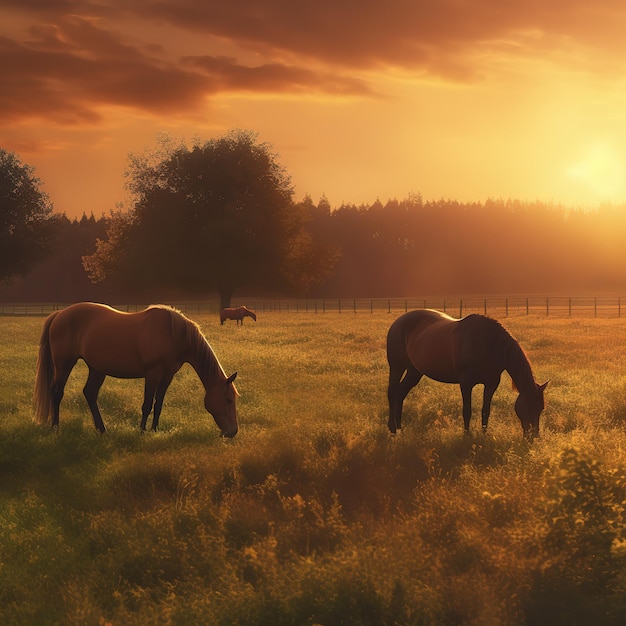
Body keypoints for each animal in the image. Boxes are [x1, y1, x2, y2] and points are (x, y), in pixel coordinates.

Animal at [34, 302, 239, 434]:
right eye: (228, 400)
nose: (232, 432)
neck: (173, 333)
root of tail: (59, 314)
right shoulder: (153, 374)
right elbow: (147, 404)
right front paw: (141, 431)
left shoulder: (168, 375)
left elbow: (158, 404)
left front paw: (154, 430)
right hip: (64, 363)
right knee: (57, 392)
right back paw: (56, 427)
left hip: (96, 368)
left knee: (90, 393)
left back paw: (102, 429)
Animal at [386, 308, 544, 436]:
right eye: (530, 405)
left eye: (542, 408)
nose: (534, 435)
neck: (486, 343)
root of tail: (397, 322)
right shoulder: (466, 383)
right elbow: (467, 411)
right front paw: (467, 435)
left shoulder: (491, 383)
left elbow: (485, 410)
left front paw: (484, 434)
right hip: (397, 367)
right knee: (392, 392)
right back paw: (392, 429)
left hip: (415, 371)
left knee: (400, 393)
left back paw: (400, 428)